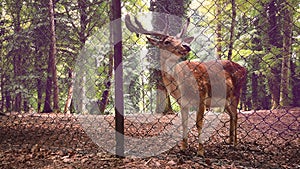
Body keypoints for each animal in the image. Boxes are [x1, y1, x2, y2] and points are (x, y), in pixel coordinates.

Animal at [124, 13, 246, 156]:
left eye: (181, 39)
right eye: (167, 42)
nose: (186, 46)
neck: (181, 86)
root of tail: (244, 68)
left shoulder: (202, 96)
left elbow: (199, 123)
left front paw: (200, 151)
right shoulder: (183, 103)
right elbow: (184, 124)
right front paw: (183, 147)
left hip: (236, 94)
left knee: (236, 116)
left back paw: (235, 144)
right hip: (225, 101)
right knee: (231, 115)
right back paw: (229, 141)